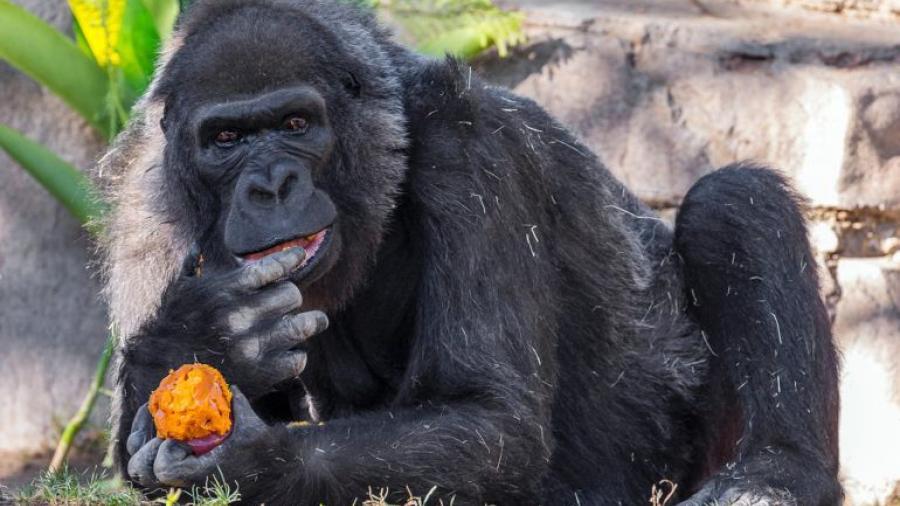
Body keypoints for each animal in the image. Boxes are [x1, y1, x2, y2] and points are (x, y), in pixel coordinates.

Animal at [98, 1, 844, 504]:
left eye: (295, 124)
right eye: (225, 139)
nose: (271, 185)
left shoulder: (475, 144)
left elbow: (490, 420)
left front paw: (259, 461)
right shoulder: (144, 200)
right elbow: (131, 448)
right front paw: (210, 335)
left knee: (732, 203)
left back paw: (777, 475)